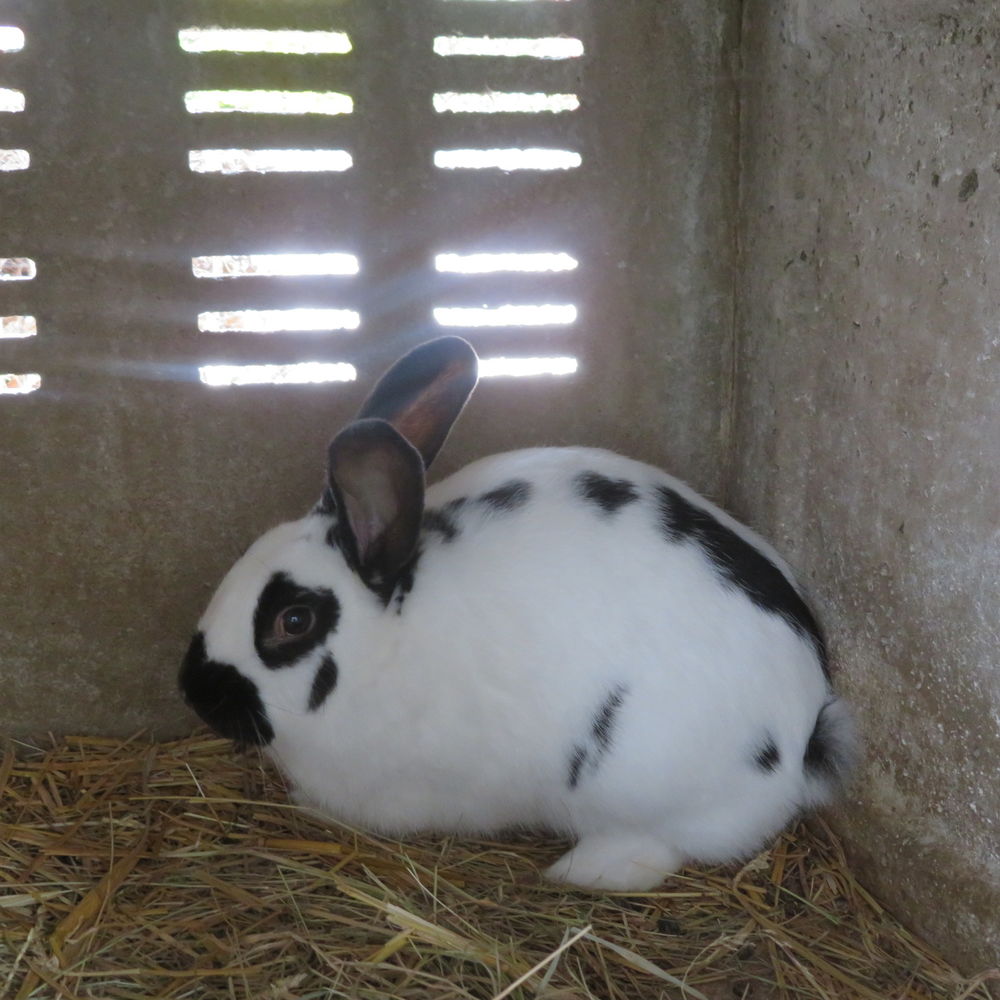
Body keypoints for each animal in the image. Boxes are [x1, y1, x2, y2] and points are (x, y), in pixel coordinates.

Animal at [180, 336, 856, 891]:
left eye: (293, 622)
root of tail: (806, 727)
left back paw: (582, 871)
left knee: (657, 849)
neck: (388, 642)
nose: (193, 690)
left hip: (645, 786)